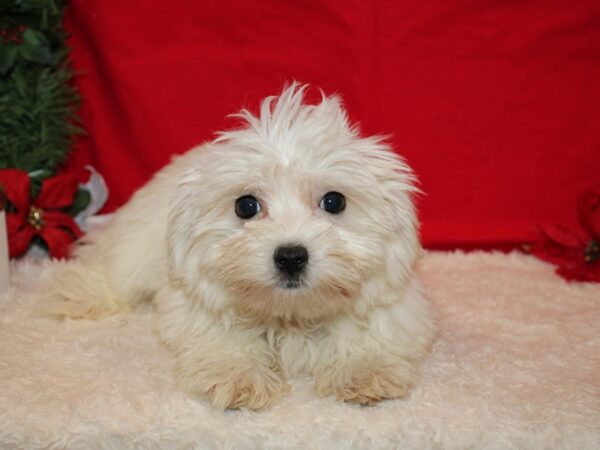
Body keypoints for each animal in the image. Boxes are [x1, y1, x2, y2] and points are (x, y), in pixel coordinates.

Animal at [47, 82, 434, 410]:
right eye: (246, 206)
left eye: (334, 201)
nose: (291, 257)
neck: (290, 316)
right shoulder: (196, 304)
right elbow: (223, 339)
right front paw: (237, 375)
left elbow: (367, 334)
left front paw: (365, 370)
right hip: (136, 247)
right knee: (113, 273)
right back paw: (78, 293)